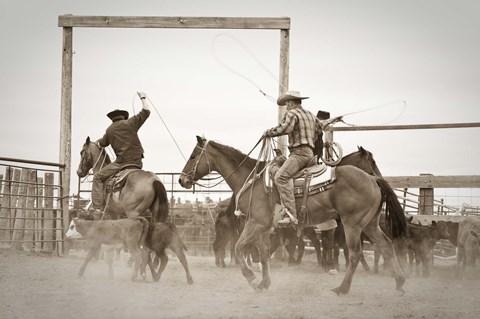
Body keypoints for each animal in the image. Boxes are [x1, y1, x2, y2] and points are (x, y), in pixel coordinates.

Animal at [180, 136, 408, 296]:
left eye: (193, 156)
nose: (182, 180)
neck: (250, 179)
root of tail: (373, 180)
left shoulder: (255, 223)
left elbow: (238, 248)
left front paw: (252, 278)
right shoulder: (263, 227)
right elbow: (263, 254)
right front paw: (264, 283)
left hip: (353, 225)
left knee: (355, 254)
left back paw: (342, 288)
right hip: (370, 224)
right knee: (386, 246)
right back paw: (399, 281)